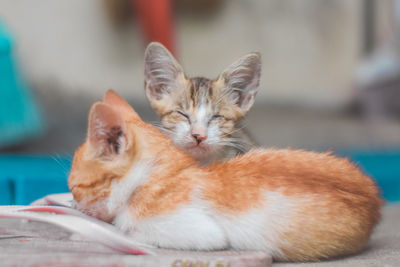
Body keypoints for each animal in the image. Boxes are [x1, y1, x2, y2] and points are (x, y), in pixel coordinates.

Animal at [68, 91, 382, 262]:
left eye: (74, 188)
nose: (73, 203)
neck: (161, 174)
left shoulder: (203, 232)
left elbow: (125, 229)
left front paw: (88, 230)